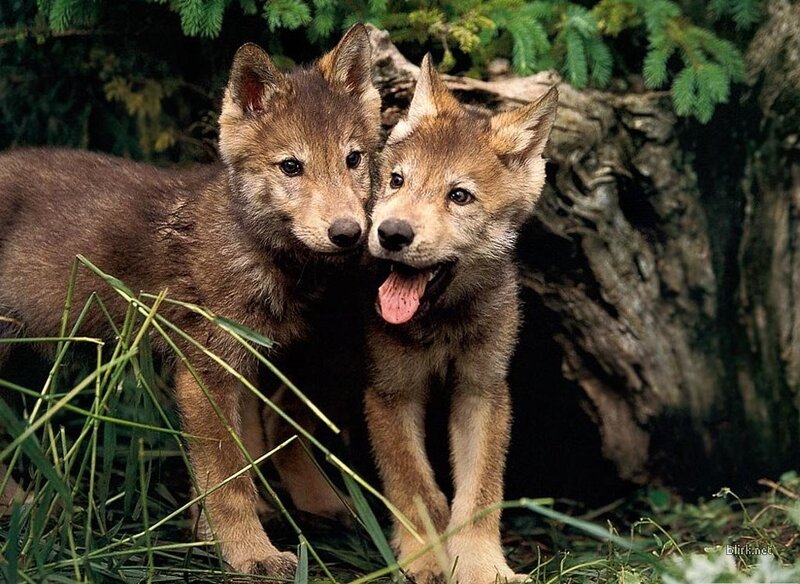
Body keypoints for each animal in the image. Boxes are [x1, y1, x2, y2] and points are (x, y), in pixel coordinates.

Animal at [0, 24, 380, 578]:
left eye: (353, 159)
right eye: (291, 167)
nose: (348, 233)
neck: (252, 248)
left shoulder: (246, 363)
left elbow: (244, 457)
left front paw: (221, 531)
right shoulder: (205, 371)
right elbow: (227, 481)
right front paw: (249, 554)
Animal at [364, 55, 558, 584]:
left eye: (460, 196)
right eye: (397, 181)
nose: (392, 233)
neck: (443, 324)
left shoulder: (483, 390)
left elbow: (479, 495)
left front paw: (481, 566)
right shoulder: (390, 392)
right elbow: (415, 487)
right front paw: (424, 559)